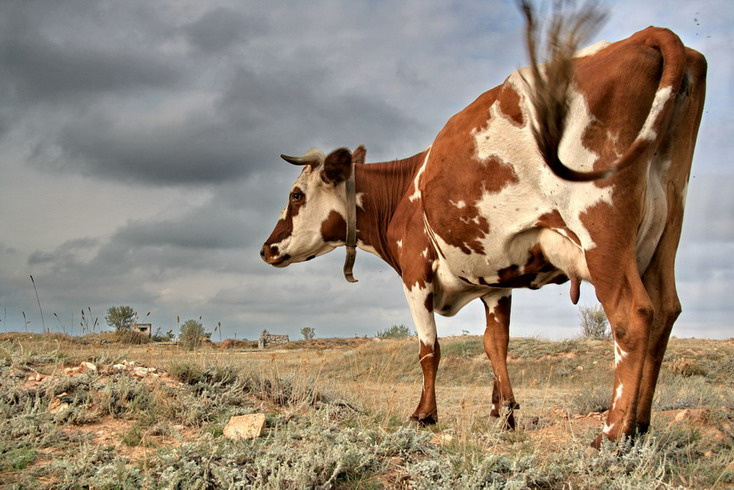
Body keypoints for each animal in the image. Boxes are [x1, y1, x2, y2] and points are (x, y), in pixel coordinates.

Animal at [260, 13, 706, 446]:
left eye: (296, 195)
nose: (267, 248)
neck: (404, 193)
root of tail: (647, 35)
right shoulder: (496, 281)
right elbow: (496, 345)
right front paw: (503, 413)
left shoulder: (415, 274)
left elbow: (429, 349)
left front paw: (424, 414)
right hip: (667, 224)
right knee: (665, 311)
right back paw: (640, 425)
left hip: (602, 229)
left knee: (633, 315)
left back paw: (613, 432)